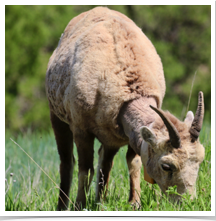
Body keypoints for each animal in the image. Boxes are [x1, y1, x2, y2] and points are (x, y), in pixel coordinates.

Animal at [45, 7, 204, 211]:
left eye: (200, 160)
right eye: (167, 166)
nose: (187, 203)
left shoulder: (127, 132)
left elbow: (134, 162)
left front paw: (135, 203)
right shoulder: (81, 130)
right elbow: (85, 170)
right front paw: (80, 205)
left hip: (110, 136)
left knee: (105, 162)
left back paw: (100, 202)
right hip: (57, 117)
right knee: (67, 161)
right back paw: (63, 205)